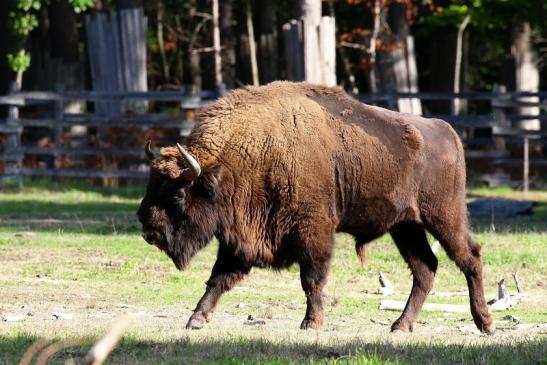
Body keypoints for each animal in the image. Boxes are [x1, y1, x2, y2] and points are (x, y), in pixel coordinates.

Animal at [138, 81, 496, 334]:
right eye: (151, 187)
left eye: (177, 196)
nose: (148, 231)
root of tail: (448, 132)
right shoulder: (240, 238)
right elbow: (219, 278)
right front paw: (196, 320)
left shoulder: (314, 230)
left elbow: (311, 278)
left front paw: (311, 323)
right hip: (405, 226)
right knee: (426, 268)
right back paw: (400, 326)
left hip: (443, 217)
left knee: (470, 258)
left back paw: (485, 323)